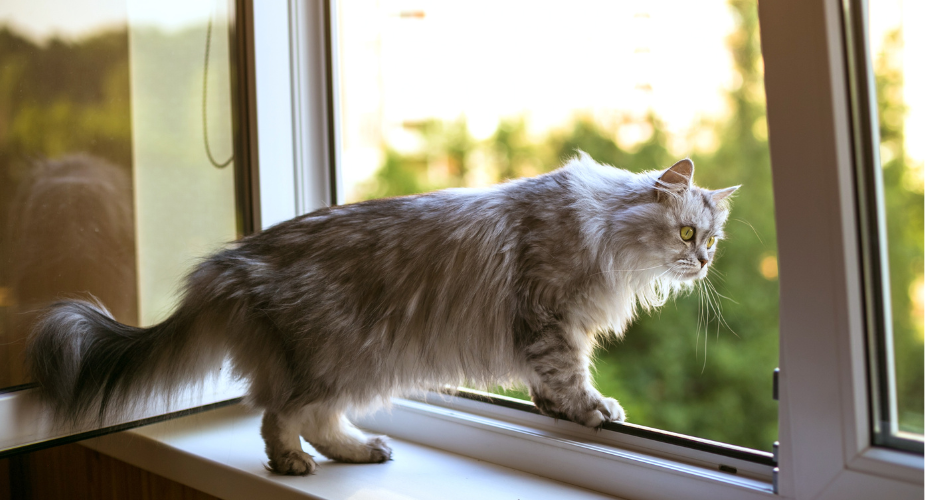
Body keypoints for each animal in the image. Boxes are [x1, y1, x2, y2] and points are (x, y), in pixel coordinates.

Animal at [29, 152, 736, 476]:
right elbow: (571, 377)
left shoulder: (550, 330)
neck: (603, 232)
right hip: (342, 357)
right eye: (685, 234)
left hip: (351, 366)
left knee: (315, 419)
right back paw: (294, 463)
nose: (703, 262)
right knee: (279, 416)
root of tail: (231, 263)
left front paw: (556, 410)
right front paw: (593, 410)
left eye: (712, 238)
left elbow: (548, 385)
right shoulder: (549, 318)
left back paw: (360, 450)